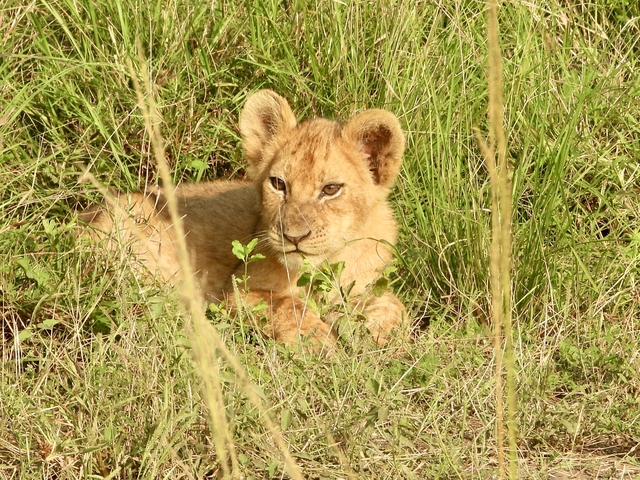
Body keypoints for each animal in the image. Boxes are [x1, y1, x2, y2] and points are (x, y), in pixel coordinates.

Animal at [81, 90, 407, 348]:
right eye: (279, 184)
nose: (293, 237)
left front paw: (374, 332)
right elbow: (287, 305)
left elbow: (394, 305)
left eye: (330, 189)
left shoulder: (366, 281)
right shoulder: (235, 292)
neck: (328, 263)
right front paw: (318, 341)